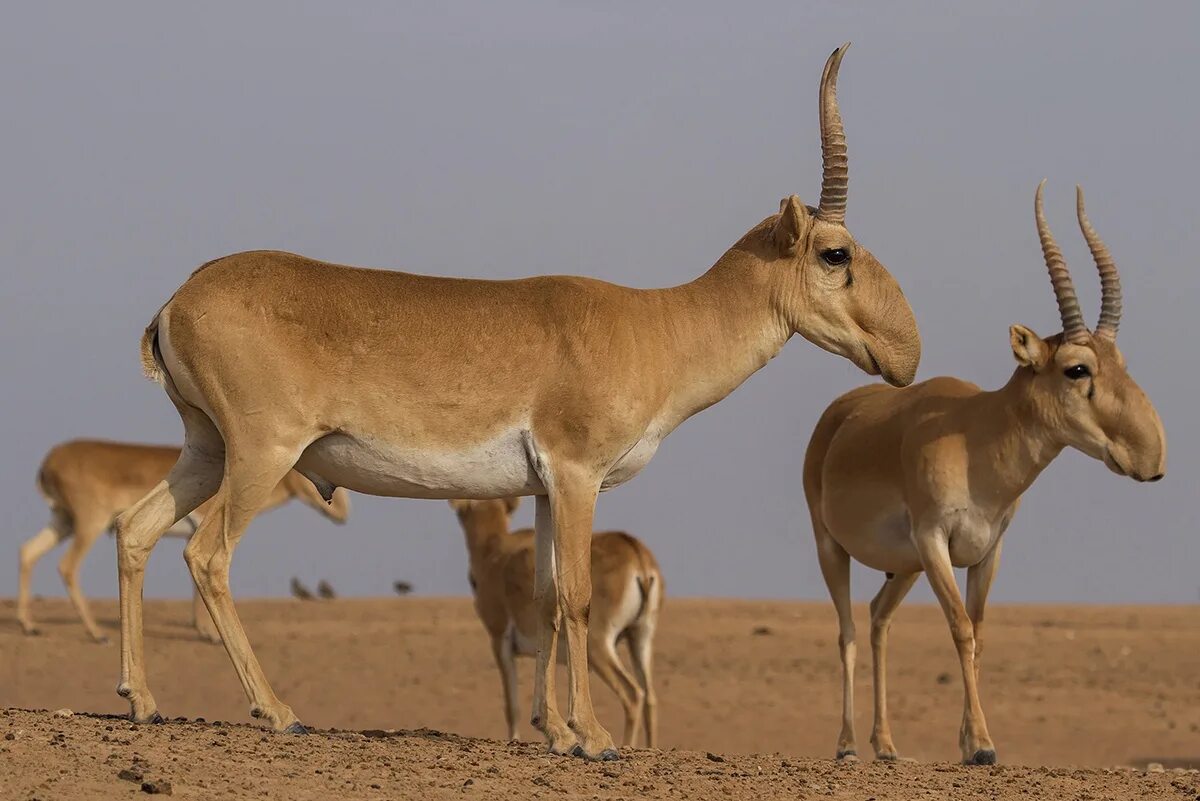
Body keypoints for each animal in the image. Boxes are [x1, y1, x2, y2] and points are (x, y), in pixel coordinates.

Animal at [18, 434, 350, 642]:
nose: (343, 516)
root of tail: (49, 463)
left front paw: (201, 629)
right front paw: (209, 634)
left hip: (62, 521)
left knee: (27, 552)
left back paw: (30, 625)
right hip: (89, 524)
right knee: (67, 566)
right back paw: (97, 632)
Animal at [451, 496, 662, 748]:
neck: (494, 551)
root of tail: (636, 553)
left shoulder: (499, 639)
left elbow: (512, 706)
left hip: (599, 647)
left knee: (632, 694)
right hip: (640, 637)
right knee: (649, 697)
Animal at [801, 181, 1166, 762]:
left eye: (1120, 365)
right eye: (1077, 368)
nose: (1150, 457)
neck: (975, 437)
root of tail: (839, 414)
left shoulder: (986, 553)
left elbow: (979, 632)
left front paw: (970, 741)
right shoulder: (934, 541)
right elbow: (961, 629)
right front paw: (983, 746)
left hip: (903, 566)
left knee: (880, 618)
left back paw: (887, 744)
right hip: (833, 547)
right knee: (849, 630)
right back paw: (849, 745)